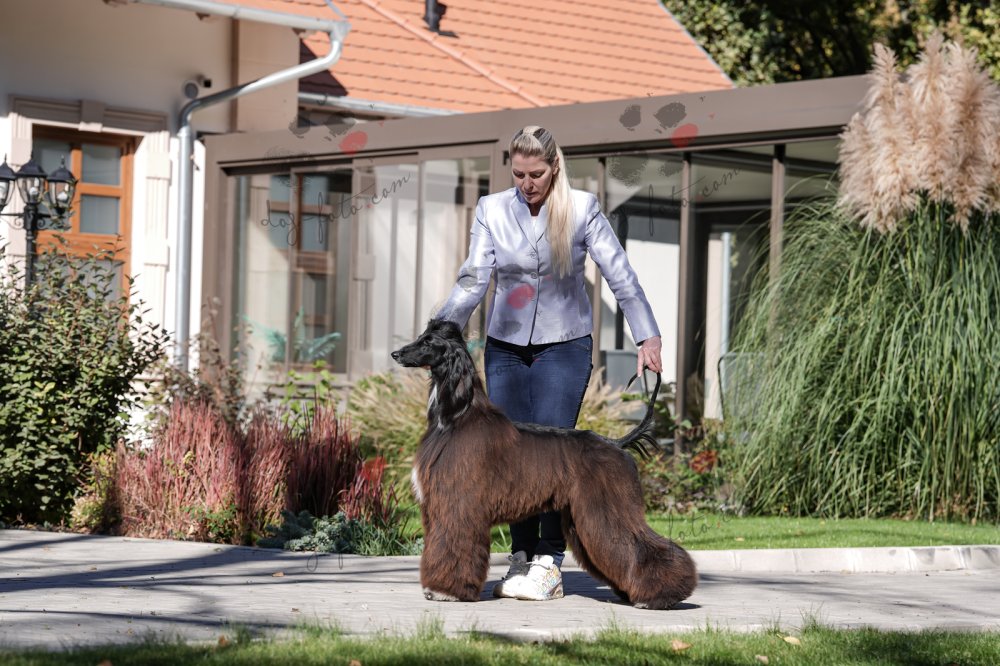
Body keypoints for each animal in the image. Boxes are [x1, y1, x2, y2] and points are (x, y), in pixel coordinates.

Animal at [391, 318, 697, 609]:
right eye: (421, 336)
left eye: (428, 342)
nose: (396, 353)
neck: (456, 416)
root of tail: (615, 443)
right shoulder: (439, 505)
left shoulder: (459, 504)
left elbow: (453, 545)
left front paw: (448, 591)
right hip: (582, 515)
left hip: (609, 507)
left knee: (640, 544)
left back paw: (662, 595)